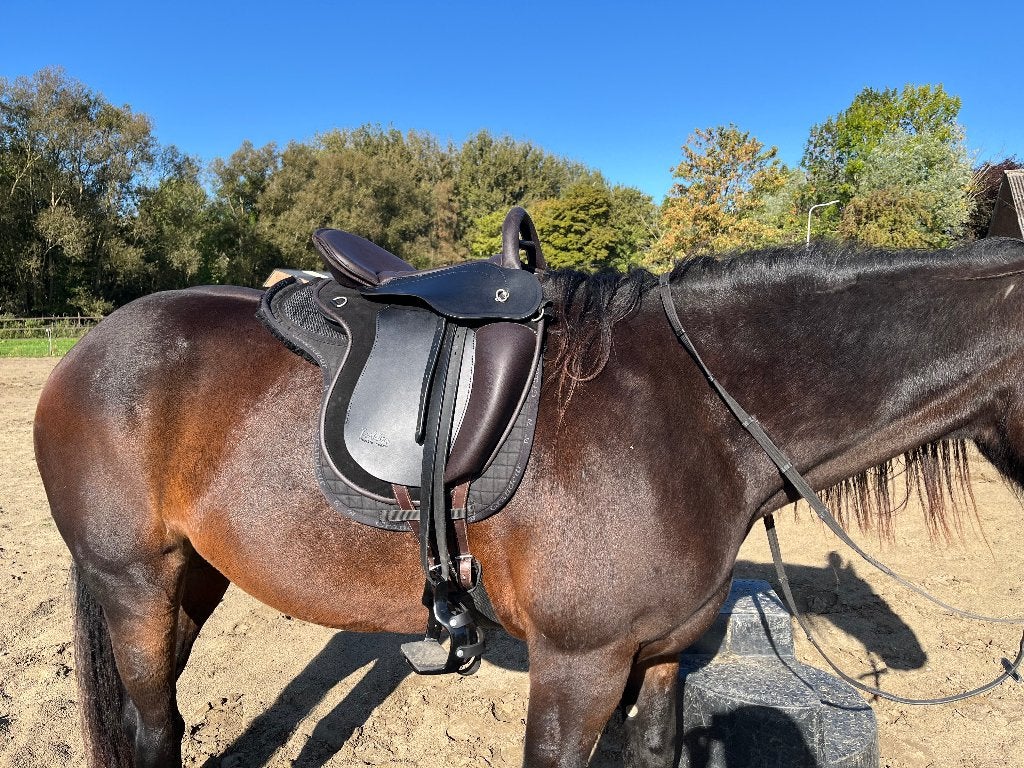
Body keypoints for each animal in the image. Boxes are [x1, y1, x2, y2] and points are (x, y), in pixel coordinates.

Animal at [33, 235, 1024, 768]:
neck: (693, 412)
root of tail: (92, 346)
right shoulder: (578, 668)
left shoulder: (660, 656)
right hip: (132, 582)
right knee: (153, 727)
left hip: (192, 581)